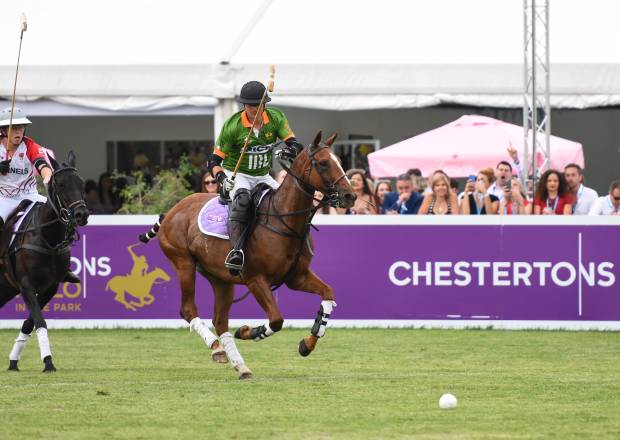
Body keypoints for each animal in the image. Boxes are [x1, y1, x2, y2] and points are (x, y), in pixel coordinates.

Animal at [0, 151, 89, 372]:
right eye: (60, 184)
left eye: (81, 183)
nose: (82, 214)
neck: (47, 238)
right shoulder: (26, 285)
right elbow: (40, 321)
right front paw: (48, 362)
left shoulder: (51, 287)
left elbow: (30, 323)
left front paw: (13, 361)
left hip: (6, 288)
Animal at [139, 131, 354, 378]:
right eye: (323, 163)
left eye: (339, 160)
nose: (350, 196)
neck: (284, 219)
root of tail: (171, 211)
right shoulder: (255, 279)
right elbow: (276, 320)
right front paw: (248, 331)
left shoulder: (296, 277)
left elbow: (328, 294)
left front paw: (307, 343)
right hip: (183, 263)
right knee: (188, 309)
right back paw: (217, 348)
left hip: (221, 279)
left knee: (220, 320)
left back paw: (241, 366)